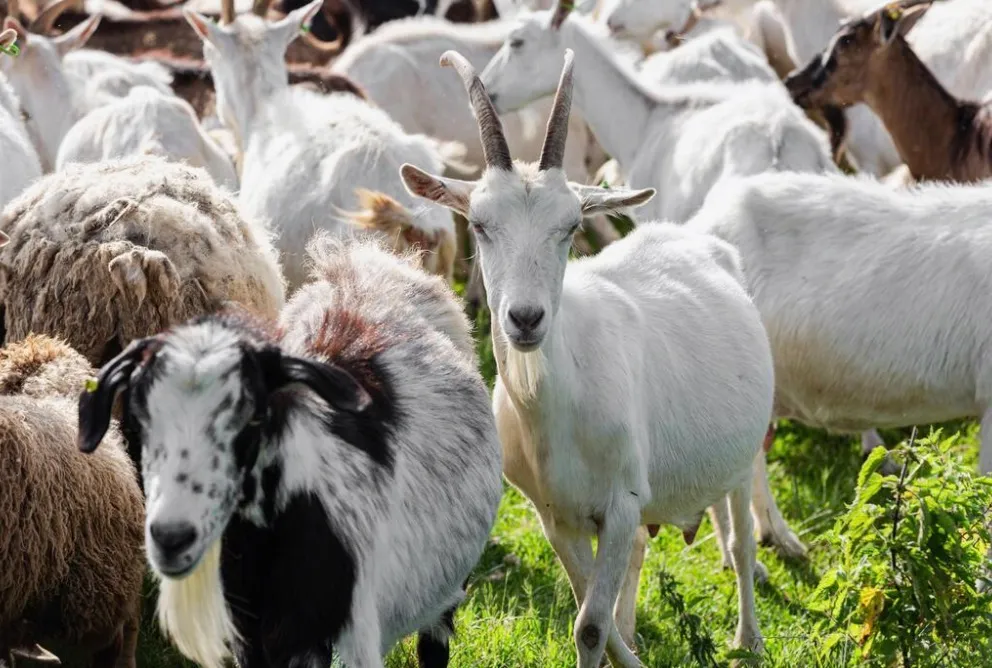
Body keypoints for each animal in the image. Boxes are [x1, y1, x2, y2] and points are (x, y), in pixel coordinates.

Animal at [78, 235, 503, 668]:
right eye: (139, 418)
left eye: (254, 417)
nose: (172, 537)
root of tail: (367, 262)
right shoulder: (250, 636)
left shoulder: (343, 636)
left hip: (447, 592)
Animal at [402, 47, 770, 668]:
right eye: (479, 224)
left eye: (571, 226)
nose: (526, 319)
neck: (557, 408)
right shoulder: (557, 516)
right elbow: (589, 613)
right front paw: (631, 649)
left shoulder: (621, 502)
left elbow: (590, 628)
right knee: (643, 553)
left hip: (741, 461)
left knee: (742, 540)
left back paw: (749, 638)